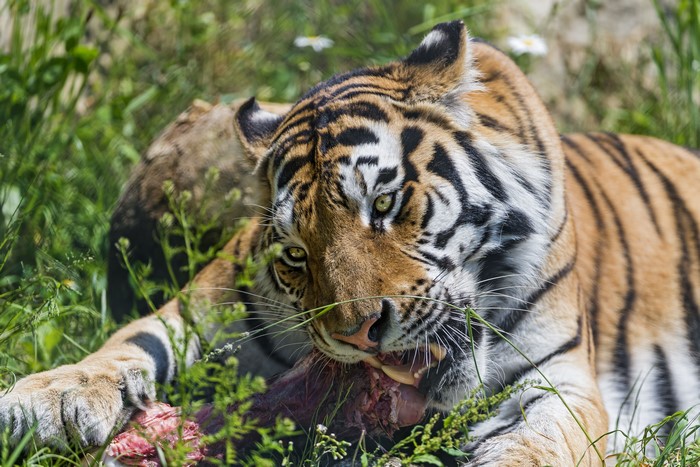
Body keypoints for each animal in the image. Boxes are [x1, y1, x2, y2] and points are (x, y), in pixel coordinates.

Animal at [2, 20, 700, 465]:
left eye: (384, 204)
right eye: (295, 255)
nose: (360, 335)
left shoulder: (558, 383)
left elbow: (534, 447)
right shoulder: (203, 306)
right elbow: (127, 344)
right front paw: (49, 400)